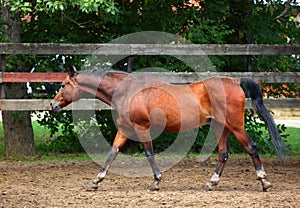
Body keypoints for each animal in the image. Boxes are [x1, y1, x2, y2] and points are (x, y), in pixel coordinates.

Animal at [51, 66, 286, 192]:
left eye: (63, 85)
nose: (52, 105)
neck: (127, 91)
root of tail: (235, 82)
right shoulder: (125, 129)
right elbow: (112, 152)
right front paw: (96, 181)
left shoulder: (142, 128)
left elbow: (148, 153)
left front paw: (156, 181)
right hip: (222, 127)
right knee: (223, 153)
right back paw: (211, 183)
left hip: (235, 125)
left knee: (252, 147)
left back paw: (264, 181)